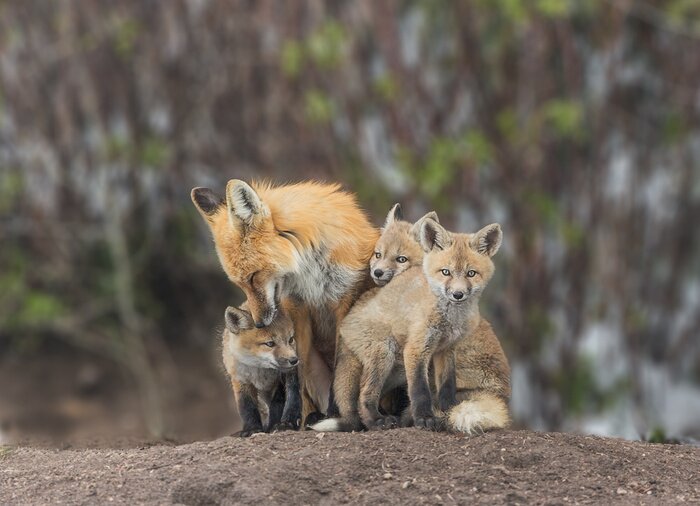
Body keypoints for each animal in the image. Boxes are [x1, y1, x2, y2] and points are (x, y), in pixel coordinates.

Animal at [192, 180, 378, 422]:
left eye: (252, 277)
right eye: (241, 284)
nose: (259, 323)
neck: (310, 271)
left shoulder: (345, 298)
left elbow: (341, 364)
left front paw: (335, 410)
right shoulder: (295, 307)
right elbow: (293, 373)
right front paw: (290, 416)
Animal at [222, 301, 302, 436]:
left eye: (290, 339)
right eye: (270, 343)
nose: (294, 360)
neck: (259, 370)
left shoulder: (278, 382)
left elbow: (278, 405)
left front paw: (276, 426)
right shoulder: (240, 380)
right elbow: (247, 408)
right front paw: (252, 429)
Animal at [313, 217, 505, 432]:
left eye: (471, 273)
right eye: (445, 272)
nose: (458, 294)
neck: (449, 318)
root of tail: (345, 324)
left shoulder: (446, 349)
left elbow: (447, 387)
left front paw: (448, 411)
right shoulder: (416, 348)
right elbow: (419, 390)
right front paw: (424, 419)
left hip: (396, 369)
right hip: (384, 353)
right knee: (364, 395)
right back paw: (376, 421)